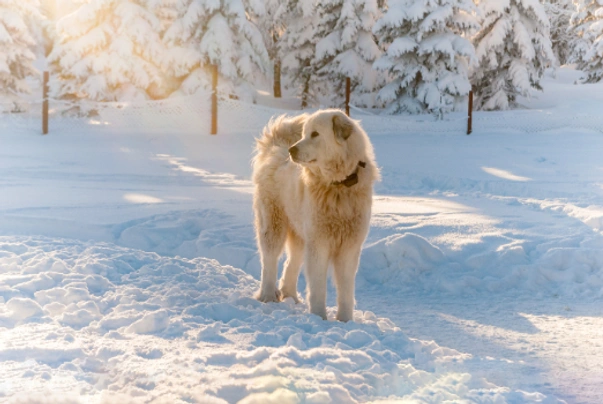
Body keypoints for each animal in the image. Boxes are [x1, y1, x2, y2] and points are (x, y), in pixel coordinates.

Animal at [252, 108, 380, 322]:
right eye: (304, 134)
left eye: (315, 134)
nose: (292, 151)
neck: (338, 186)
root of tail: (276, 147)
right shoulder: (319, 244)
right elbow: (318, 286)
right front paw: (319, 317)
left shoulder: (349, 247)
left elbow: (346, 290)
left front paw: (345, 321)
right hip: (273, 225)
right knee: (269, 262)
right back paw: (268, 296)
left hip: (301, 235)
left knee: (291, 263)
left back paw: (290, 296)